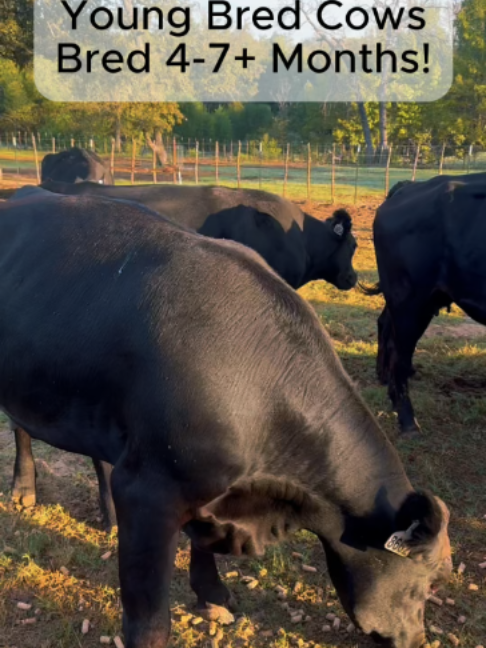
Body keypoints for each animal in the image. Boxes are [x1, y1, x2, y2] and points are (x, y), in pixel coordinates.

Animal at [0, 192, 451, 648]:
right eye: (429, 580)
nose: (417, 639)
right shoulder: (147, 491)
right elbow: (149, 621)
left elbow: (200, 547)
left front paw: (212, 593)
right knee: (20, 428)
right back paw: (23, 490)